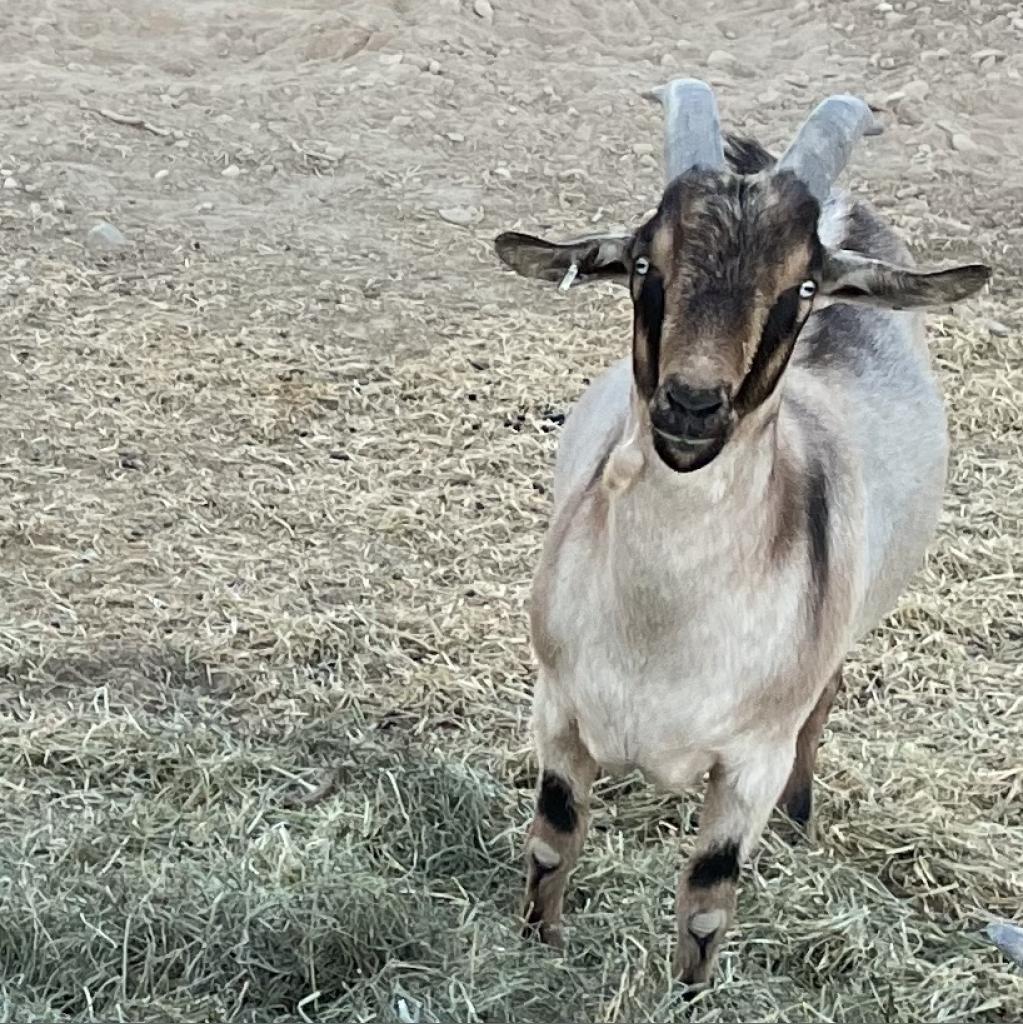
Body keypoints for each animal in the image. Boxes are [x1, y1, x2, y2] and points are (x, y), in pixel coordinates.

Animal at [492, 79, 990, 988]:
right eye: (642, 262)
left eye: (804, 286)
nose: (691, 406)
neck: (661, 634)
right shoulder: (557, 708)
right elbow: (551, 842)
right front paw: (536, 949)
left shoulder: (751, 758)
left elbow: (707, 899)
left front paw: (687, 994)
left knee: (824, 704)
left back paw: (800, 818)